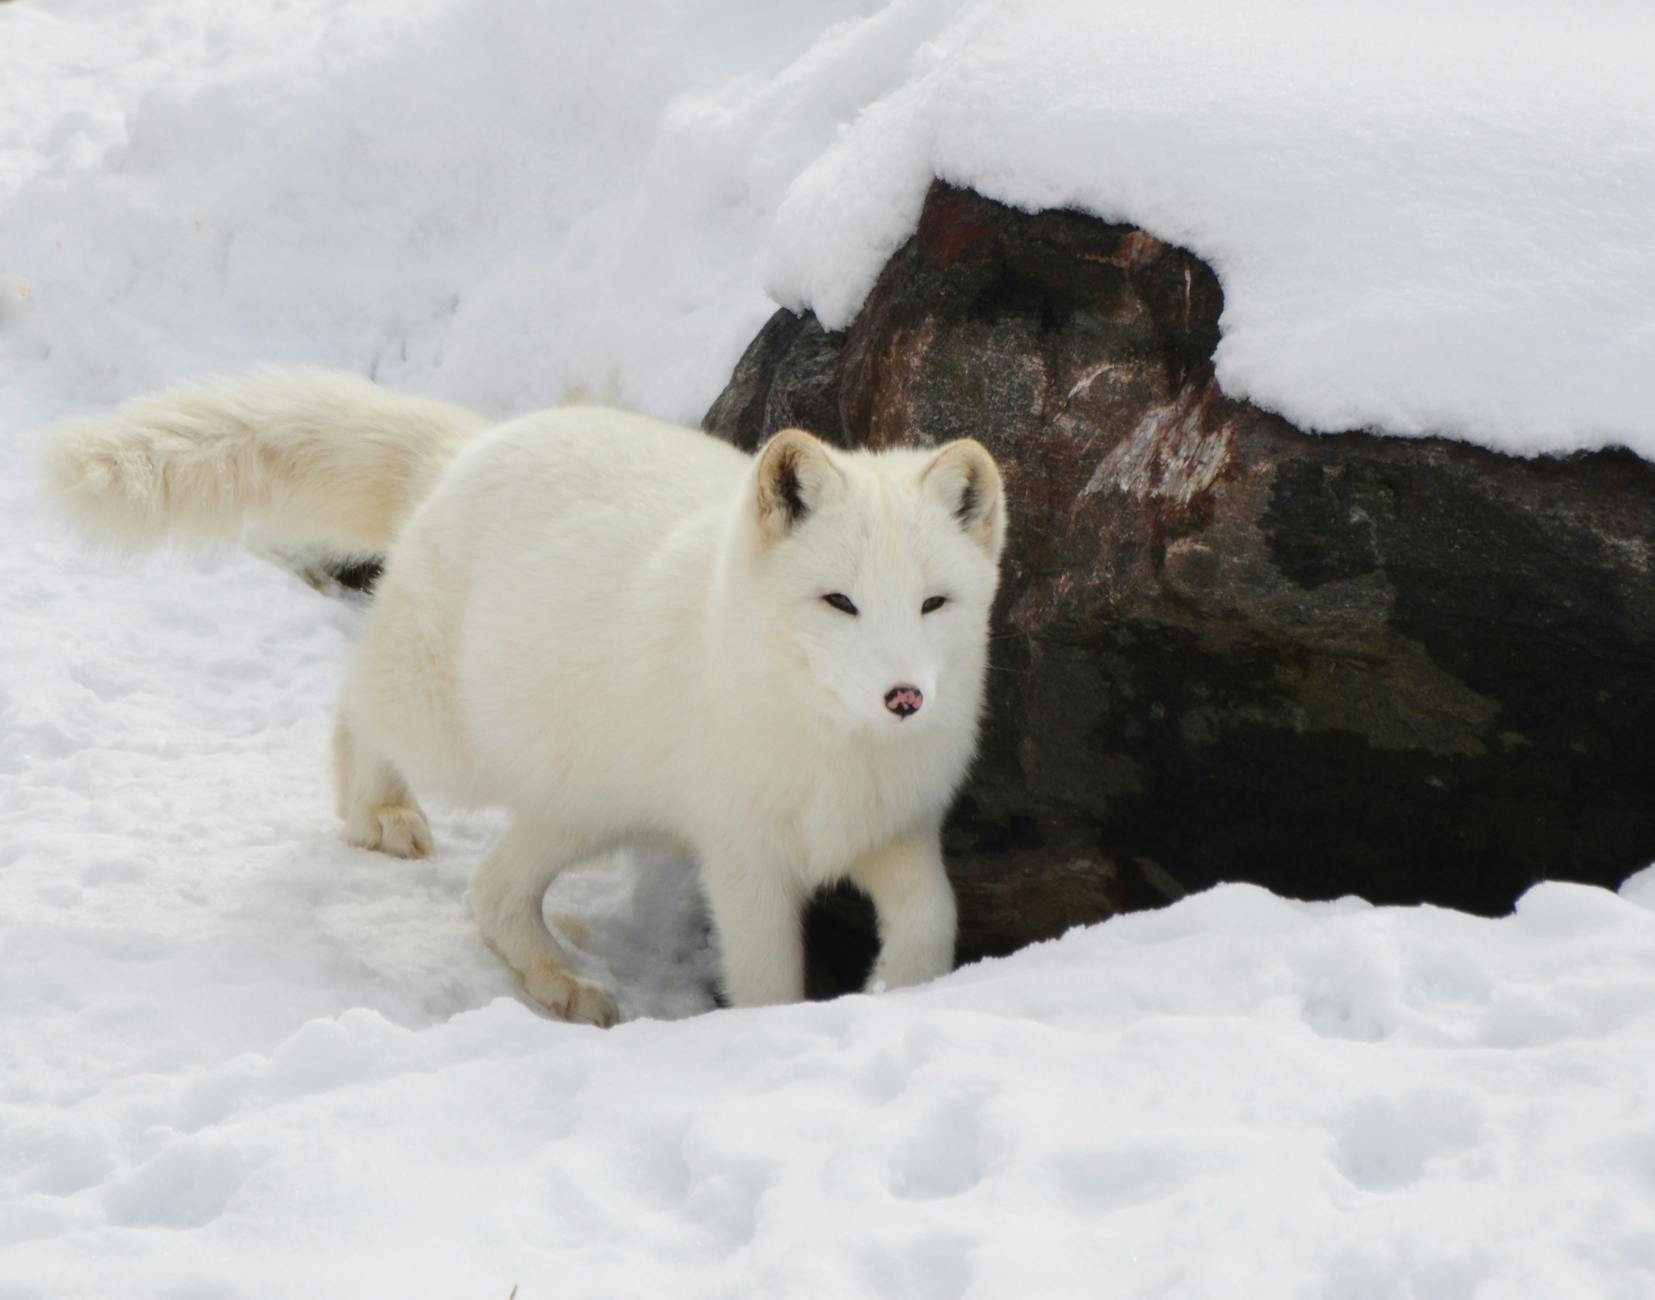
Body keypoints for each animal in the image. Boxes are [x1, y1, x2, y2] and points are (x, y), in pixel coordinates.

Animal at [40, 369, 1008, 1026]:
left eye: (933, 603)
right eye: (838, 602)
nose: (904, 697)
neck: (834, 750)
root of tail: (469, 449)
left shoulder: (896, 831)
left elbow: (933, 921)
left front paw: (904, 995)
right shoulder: (745, 861)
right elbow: (767, 982)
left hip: (583, 803)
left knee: (493, 893)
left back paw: (560, 982)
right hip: (455, 740)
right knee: (356, 701)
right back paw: (376, 811)